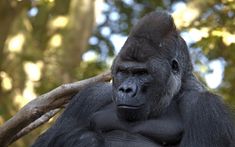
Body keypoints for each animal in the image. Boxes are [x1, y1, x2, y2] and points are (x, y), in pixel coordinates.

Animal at [31, 10, 235, 147]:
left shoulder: (206, 108)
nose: (126, 89)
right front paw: (85, 140)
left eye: (142, 73)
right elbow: (46, 141)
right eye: (124, 71)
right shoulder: (90, 95)